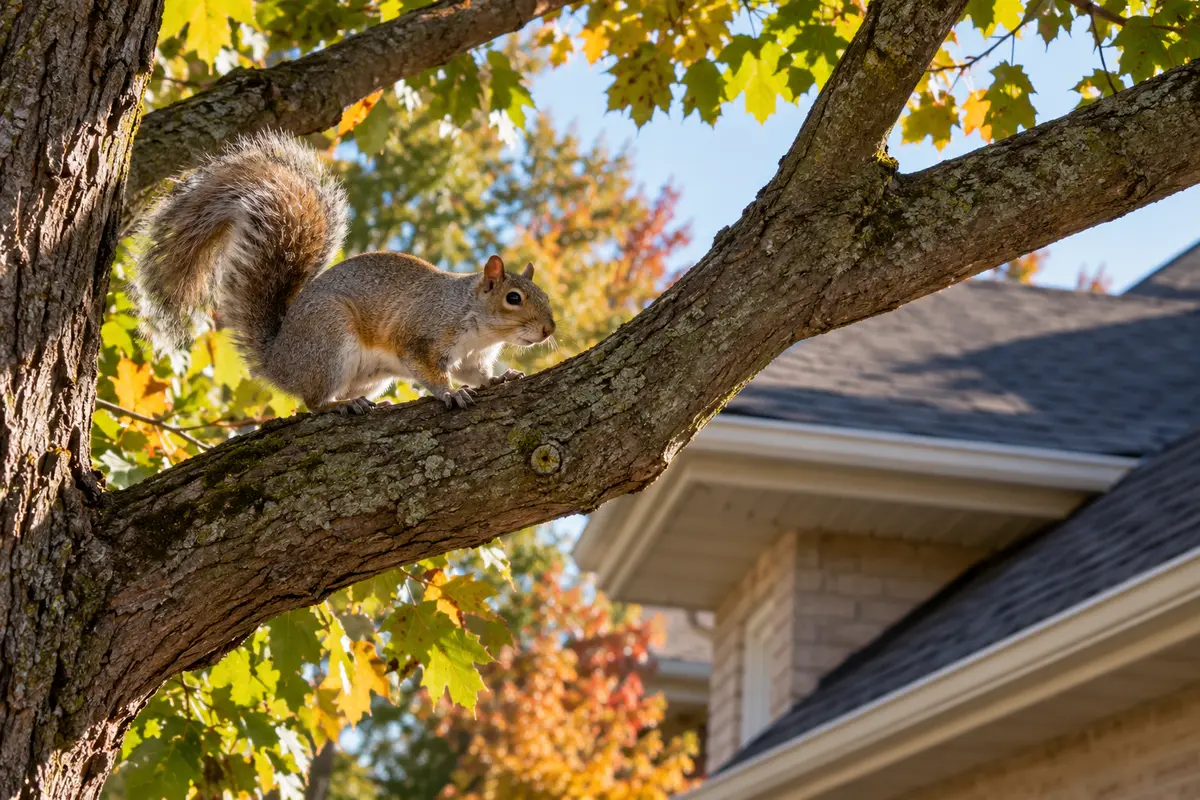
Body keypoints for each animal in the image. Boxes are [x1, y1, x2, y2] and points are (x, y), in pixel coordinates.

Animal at [132, 132, 556, 413]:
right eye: (513, 298)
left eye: (545, 296)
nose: (549, 329)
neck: (478, 325)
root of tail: (278, 362)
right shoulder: (422, 335)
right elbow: (429, 371)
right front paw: (450, 393)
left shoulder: (470, 357)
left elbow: (476, 373)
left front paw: (501, 377)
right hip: (330, 343)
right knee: (310, 401)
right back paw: (335, 406)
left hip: (371, 373)